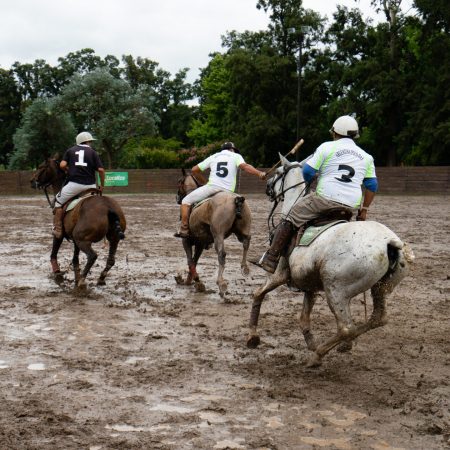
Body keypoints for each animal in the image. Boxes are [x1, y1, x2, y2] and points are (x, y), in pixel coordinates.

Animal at [31, 156, 126, 286]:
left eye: (41, 167)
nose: (32, 181)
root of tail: (108, 207)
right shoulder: (75, 239)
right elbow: (75, 259)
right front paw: (75, 273)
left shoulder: (62, 234)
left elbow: (54, 251)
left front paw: (57, 272)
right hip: (112, 238)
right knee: (111, 260)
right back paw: (100, 278)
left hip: (82, 239)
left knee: (92, 256)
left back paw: (82, 280)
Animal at [174, 167, 251, 298]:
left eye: (179, 182)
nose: (177, 198)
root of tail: (236, 200)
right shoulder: (200, 243)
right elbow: (194, 261)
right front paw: (191, 280)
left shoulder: (186, 241)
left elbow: (190, 261)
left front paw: (197, 282)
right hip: (242, 230)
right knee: (246, 242)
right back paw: (244, 268)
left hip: (218, 233)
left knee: (221, 254)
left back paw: (221, 283)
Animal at [246, 155, 414, 366]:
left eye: (278, 173)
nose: (267, 186)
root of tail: (390, 243)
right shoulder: (309, 284)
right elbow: (303, 318)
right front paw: (311, 342)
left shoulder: (281, 274)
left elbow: (258, 294)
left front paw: (252, 337)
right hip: (380, 287)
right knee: (377, 318)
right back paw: (343, 345)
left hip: (336, 289)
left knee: (346, 327)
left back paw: (317, 356)